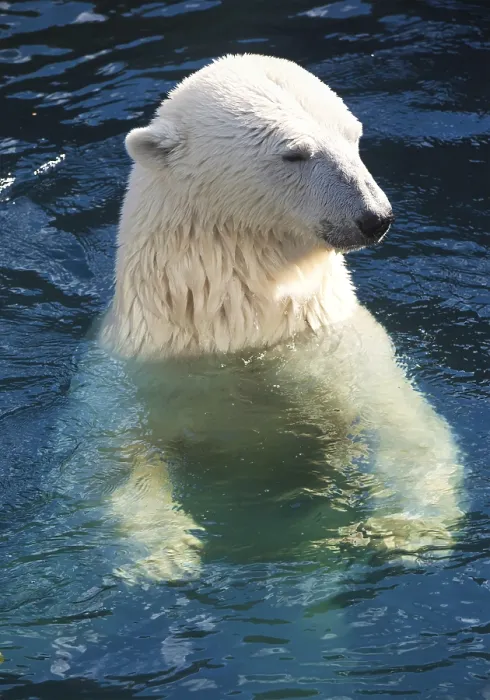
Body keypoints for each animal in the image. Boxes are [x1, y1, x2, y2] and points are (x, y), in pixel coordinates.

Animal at [74, 54, 463, 582]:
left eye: (354, 136)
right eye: (295, 154)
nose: (375, 217)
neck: (245, 325)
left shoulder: (334, 342)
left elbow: (403, 419)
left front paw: (407, 528)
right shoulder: (131, 377)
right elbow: (110, 458)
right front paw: (165, 554)